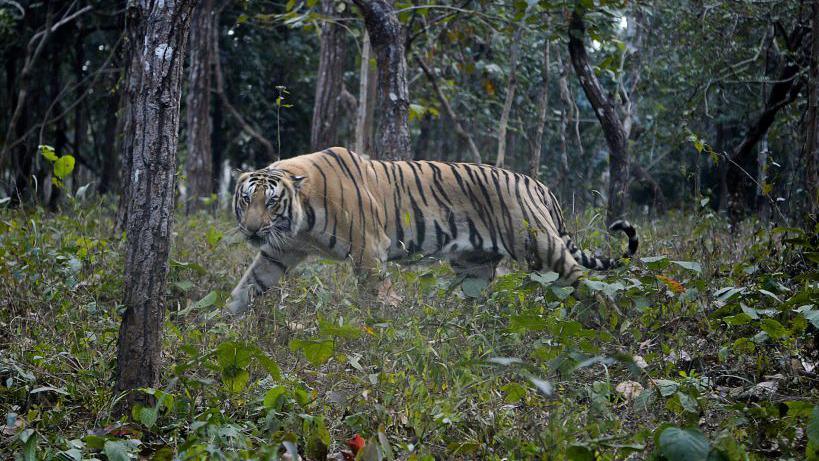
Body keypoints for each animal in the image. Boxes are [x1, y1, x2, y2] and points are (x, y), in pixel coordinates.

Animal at [226, 147, 640, 312]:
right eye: (246, 200)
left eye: (271, 202)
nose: (252, 230)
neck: (298, 220)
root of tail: (537, 185)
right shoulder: (279, 250)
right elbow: (246, 286)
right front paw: (221, 324)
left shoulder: (367, 249)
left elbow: (376, 295)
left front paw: (386, 323)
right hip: (474, 266)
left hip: (542, 248)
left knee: (587, 285)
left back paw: (609, 322)